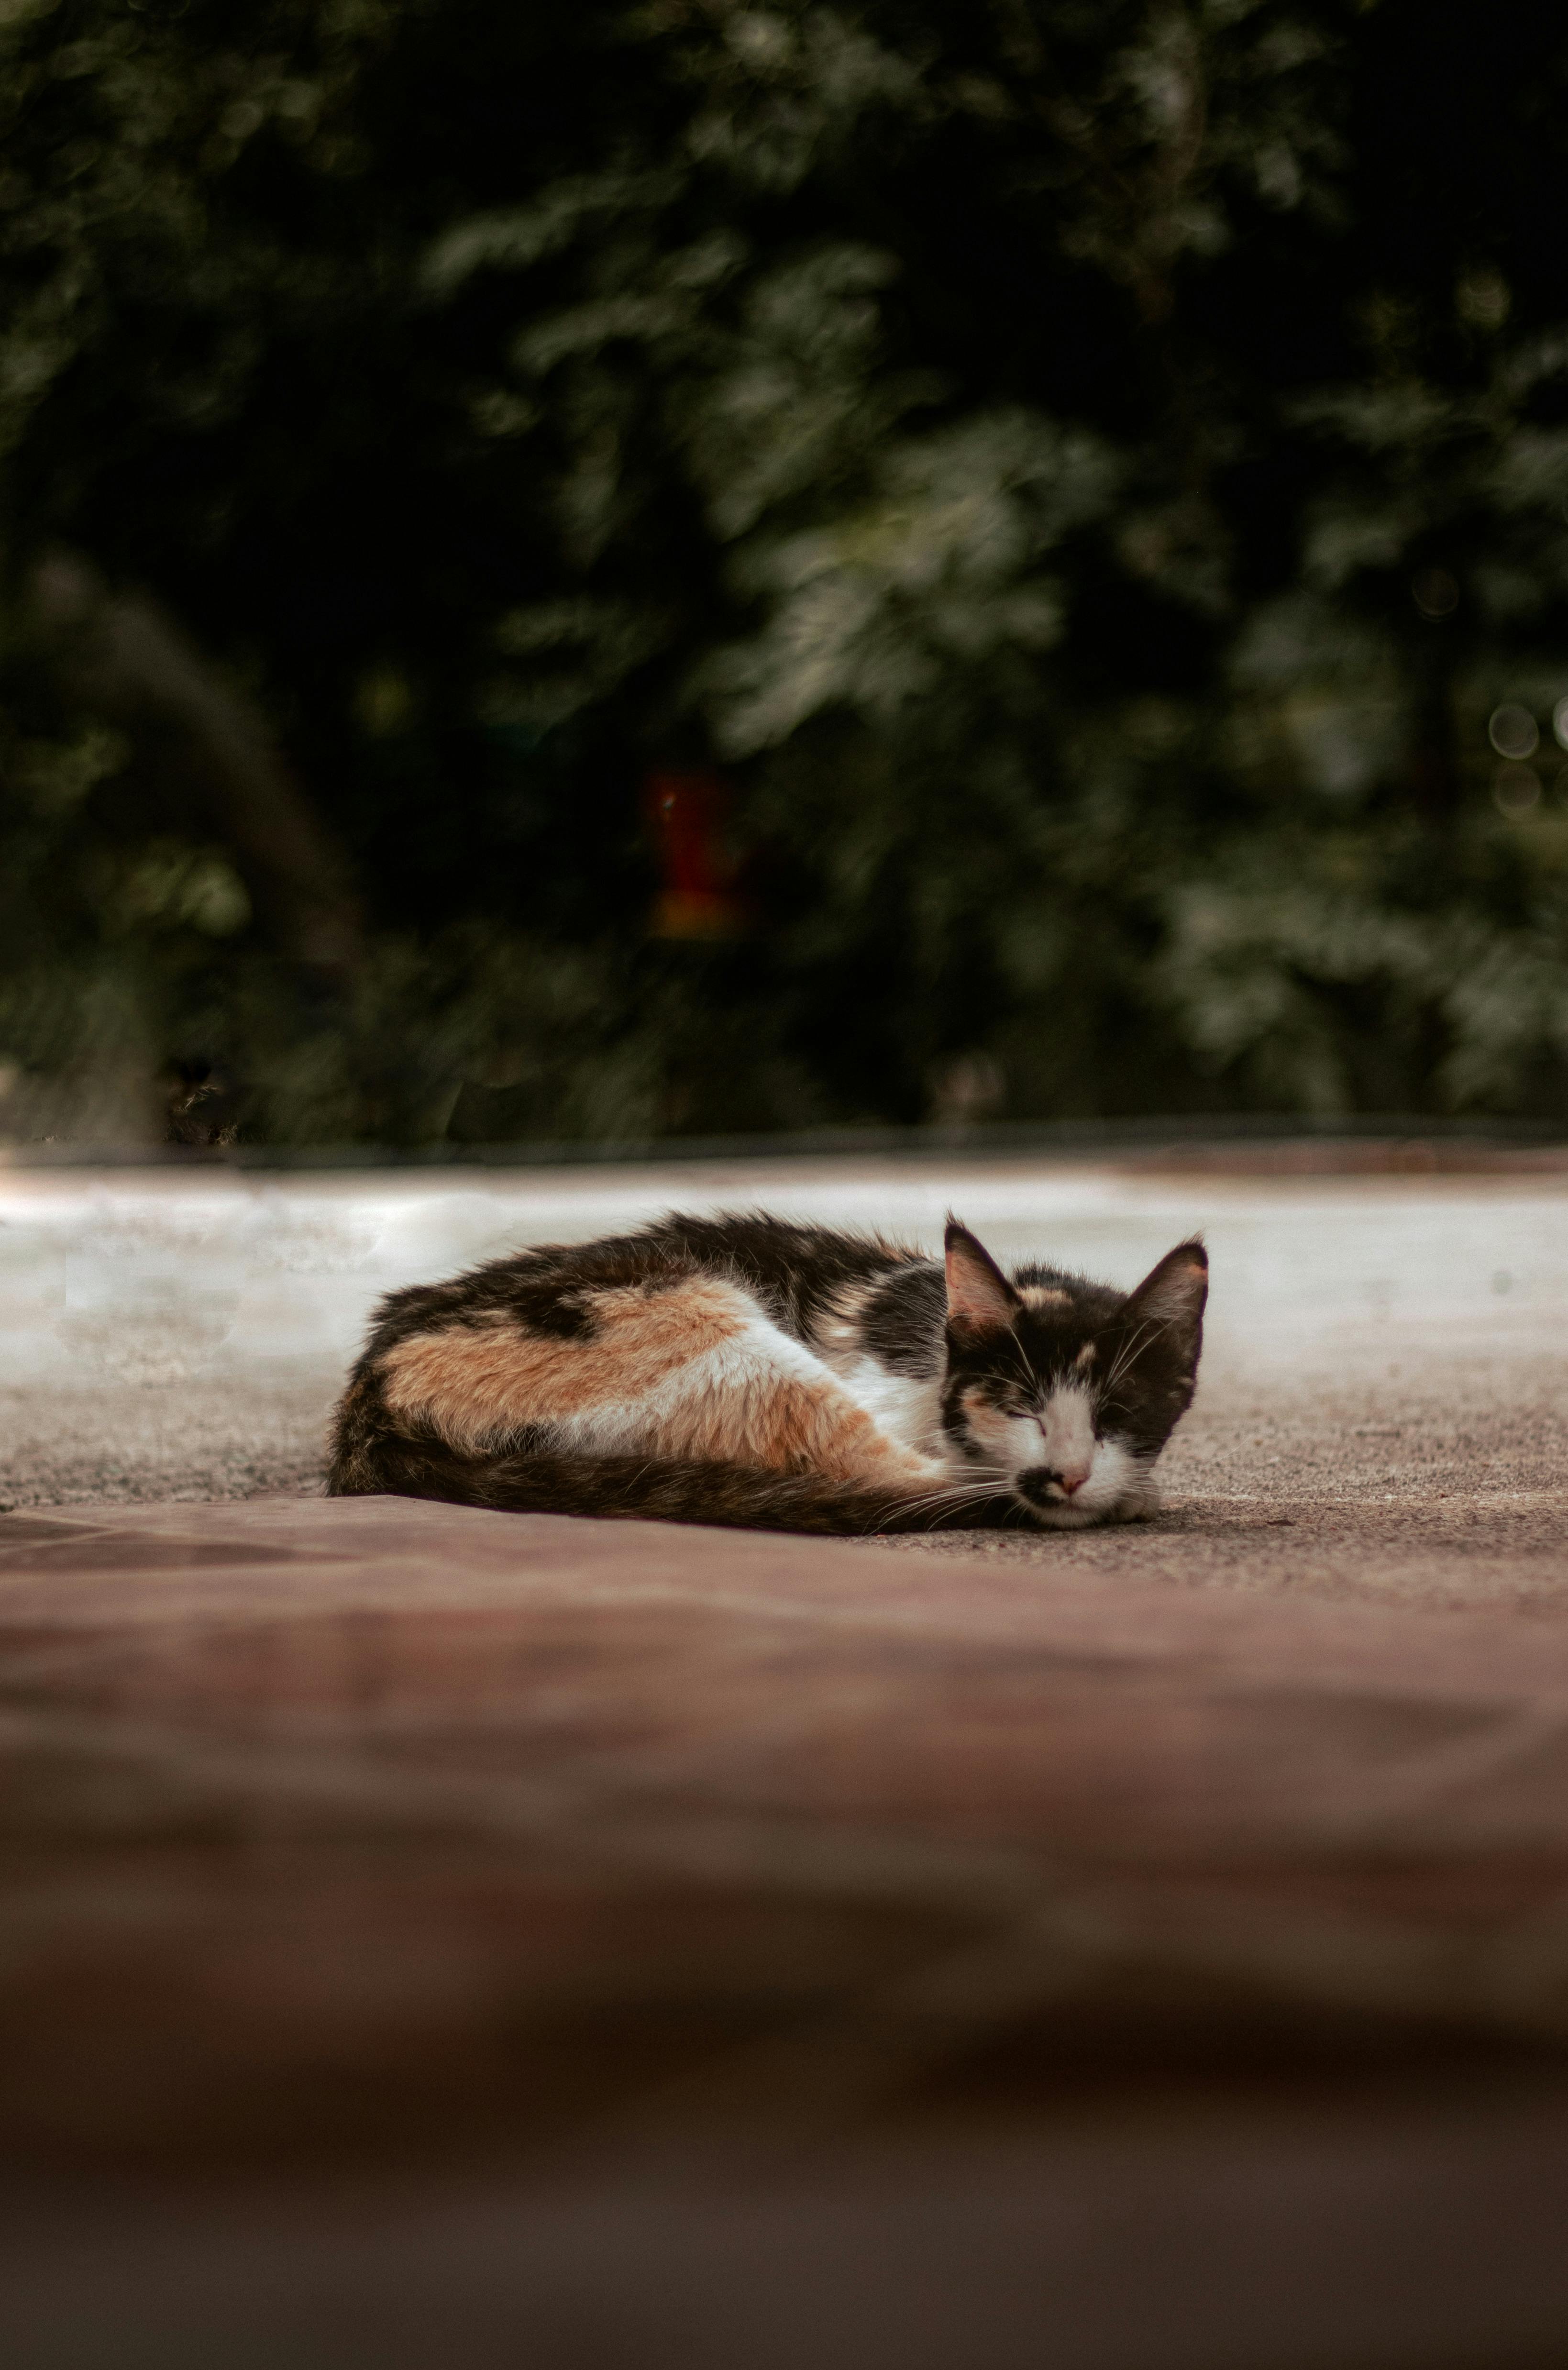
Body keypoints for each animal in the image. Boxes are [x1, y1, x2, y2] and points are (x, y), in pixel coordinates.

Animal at [331, 1213, 1208, 1545]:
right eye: (1019, 1404)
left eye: (1117, 1411)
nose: (1066, 1473)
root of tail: (369, 1401)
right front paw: (1123, 1492)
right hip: (708, 1323)